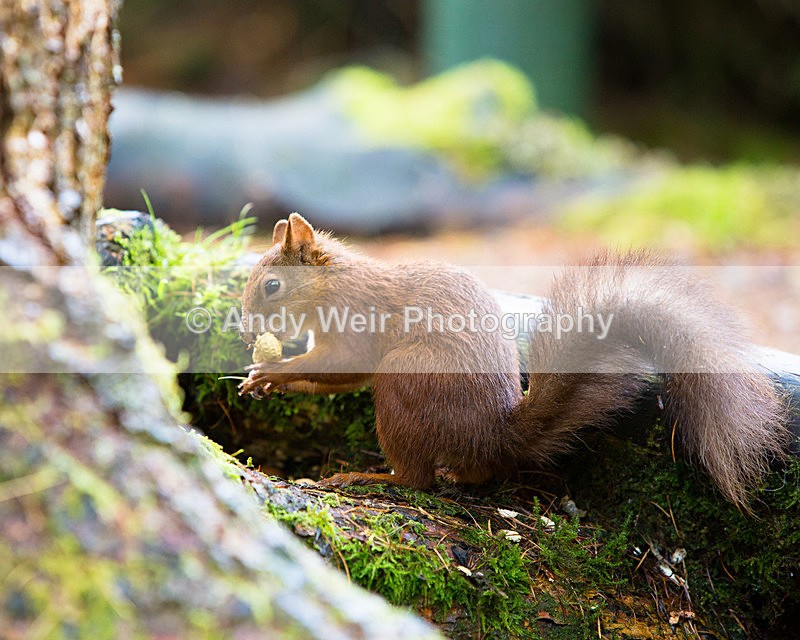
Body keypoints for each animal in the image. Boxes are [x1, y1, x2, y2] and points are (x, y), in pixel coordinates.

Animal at [239, 213, 790, 509]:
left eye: (272, 285)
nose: (244, 333)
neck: (331, 284)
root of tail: (493, 433)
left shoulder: (359, 320)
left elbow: (342, 366)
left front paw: (273, 371)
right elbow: (335, 379)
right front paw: (261, 381)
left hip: (403, 381)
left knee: (417, 478)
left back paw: (368, 478)